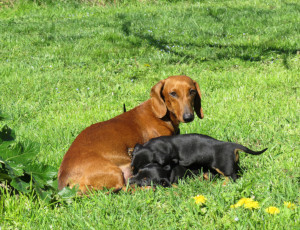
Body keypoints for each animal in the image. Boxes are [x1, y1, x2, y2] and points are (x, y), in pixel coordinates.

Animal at [58, 75, 204, 192]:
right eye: (173, 93)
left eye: (192, 91)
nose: (188, 117)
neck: (160, 115)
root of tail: (64, 179)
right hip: (115, 173)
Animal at [131, 134, 268, 182]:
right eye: (133, 168)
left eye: (144, 167)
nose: (132, 177)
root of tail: (233, 146)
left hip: (224, 168)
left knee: (232, 177)